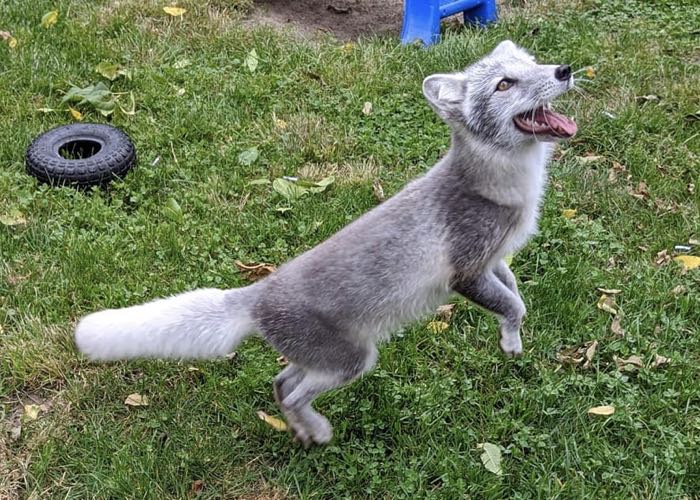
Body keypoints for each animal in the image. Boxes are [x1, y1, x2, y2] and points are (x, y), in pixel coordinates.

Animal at [78, 40, 580, 446]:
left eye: (532, 62)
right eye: (505, 84)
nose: (564, 70)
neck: (505, 188)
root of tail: (257, 294)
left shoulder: (494, 260)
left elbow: (514, 292)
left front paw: (513, 336)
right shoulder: (467, 272)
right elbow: (513, 305)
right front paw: (511, 341)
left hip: (318, 360)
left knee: (279, 383)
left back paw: (303, 432)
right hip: (352, 362)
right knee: (293, 393)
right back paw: (316, 429)